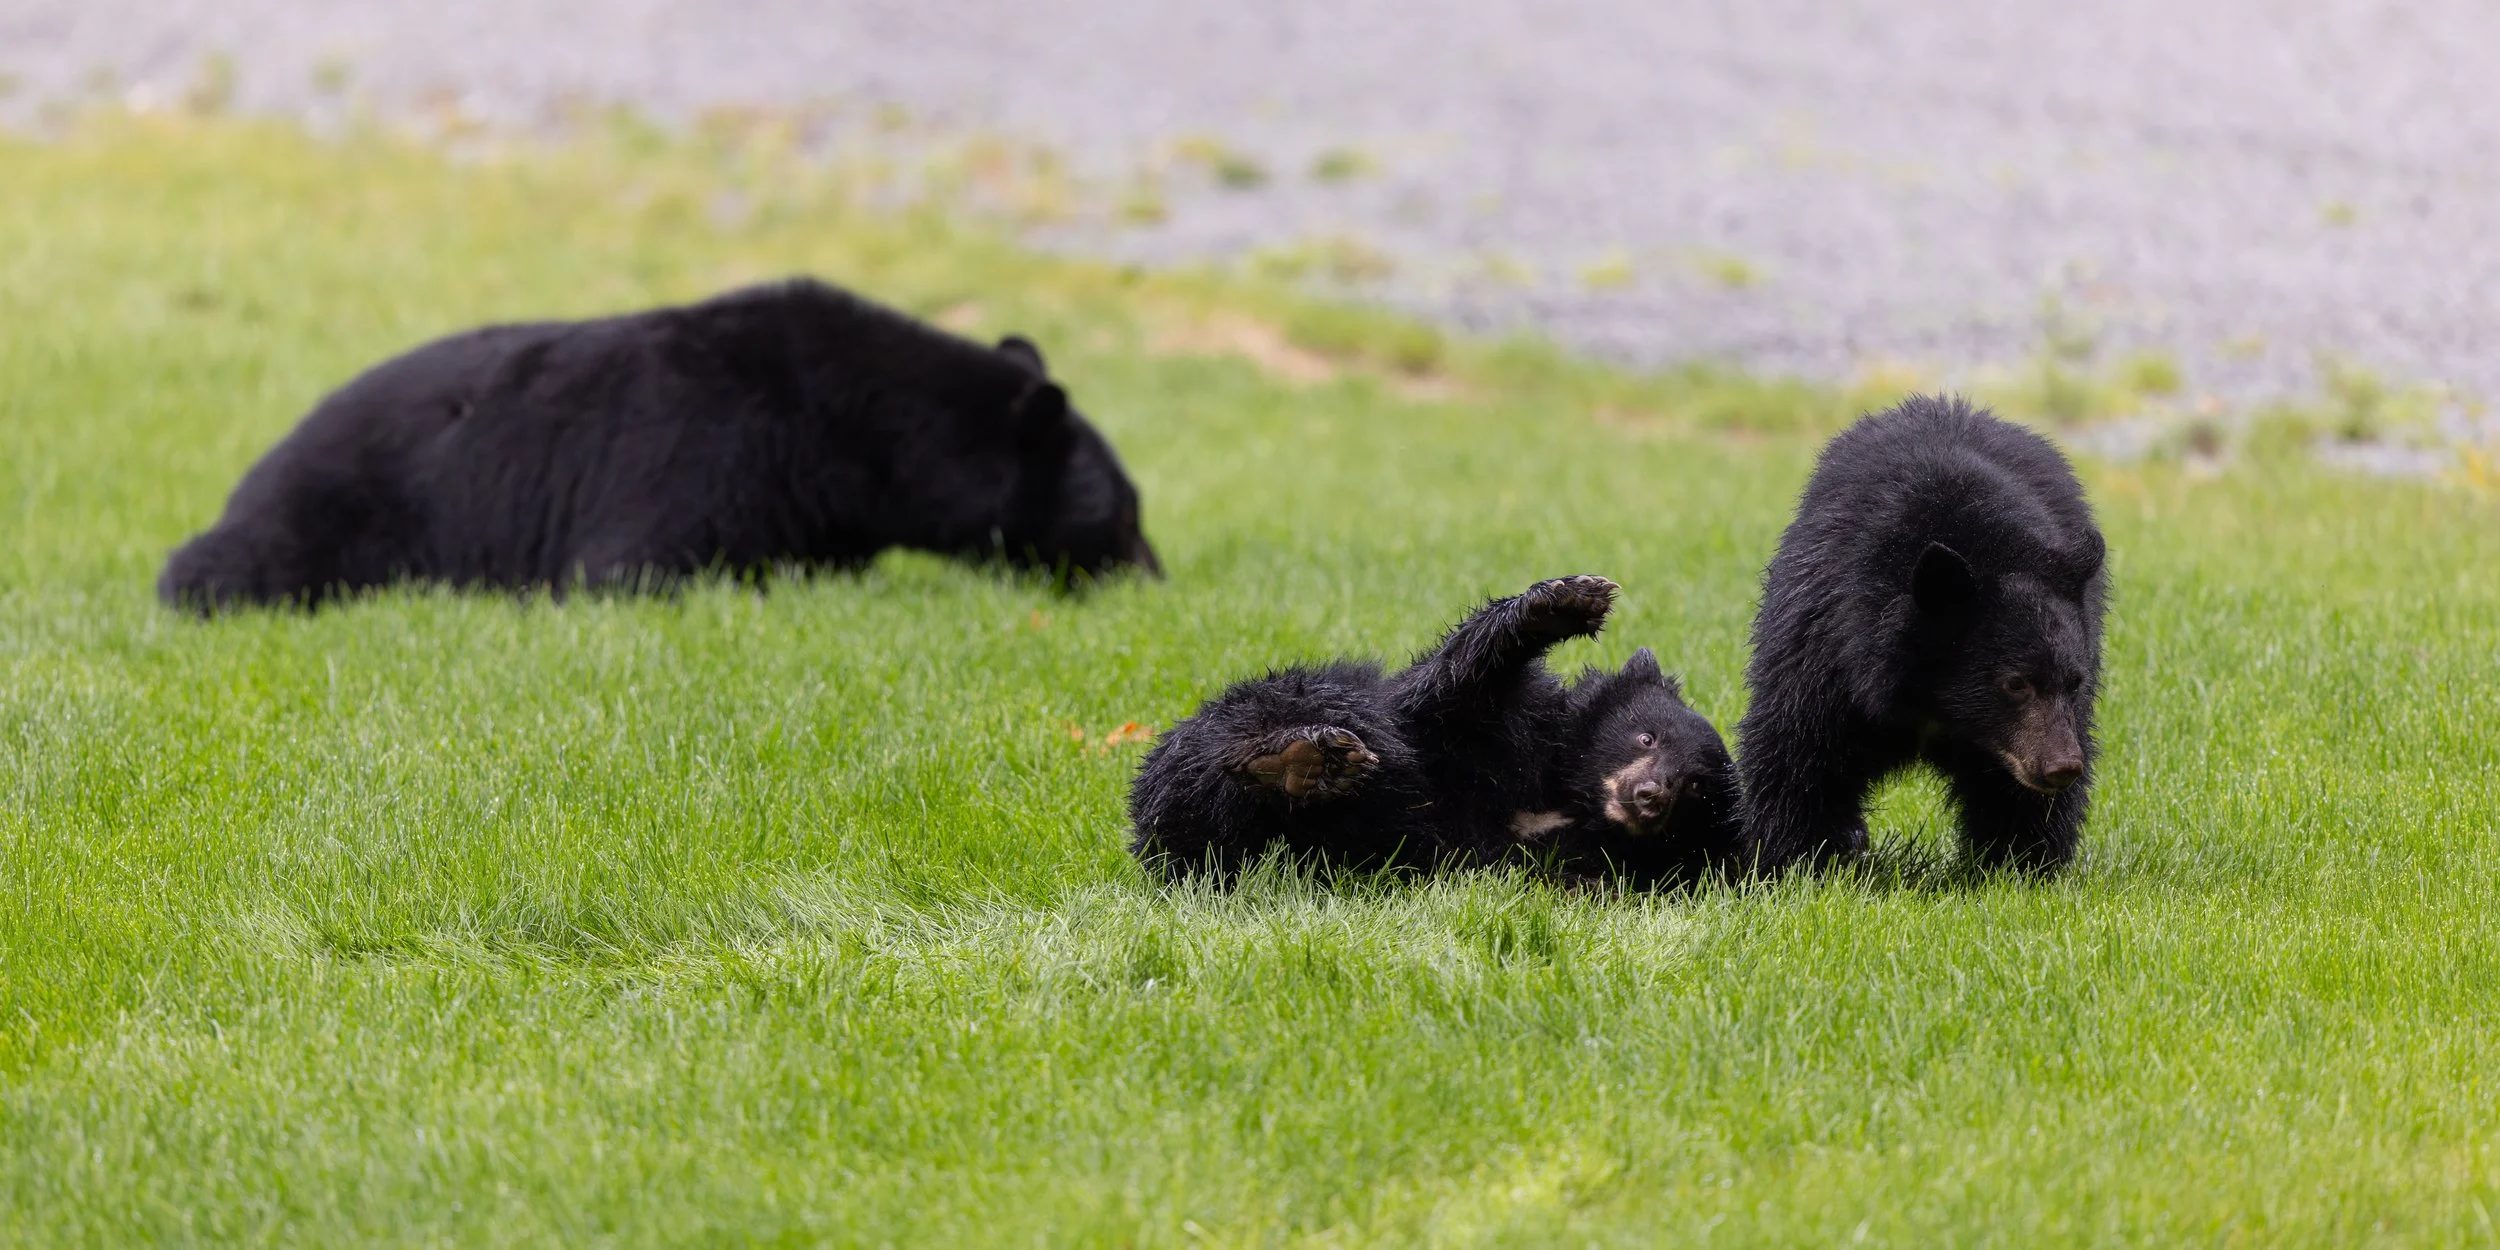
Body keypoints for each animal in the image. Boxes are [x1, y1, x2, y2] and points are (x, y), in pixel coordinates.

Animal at [158, 277, 1158, 612]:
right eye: (1124, 513)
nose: (1156, 577)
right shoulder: (708, 448)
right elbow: (635, 566)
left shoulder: (816, 510)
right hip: (321, 510)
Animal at [1127, 575, 1743, 885]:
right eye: (1647, 738)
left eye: (1696, 786)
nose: (1650, 795)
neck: (1568, 793)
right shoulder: (1502, 730)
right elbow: (1452, 691)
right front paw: (1566, 600)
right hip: (1252, 711)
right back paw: (1300, 757)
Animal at [1736, 393, 2107, 875]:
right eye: (2014, 683)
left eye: (2074, 682)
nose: (2062, 767)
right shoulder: (1823, 641)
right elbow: (1800, 751)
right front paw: (1797, 858)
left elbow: (2015, 800)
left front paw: (2022, 862)